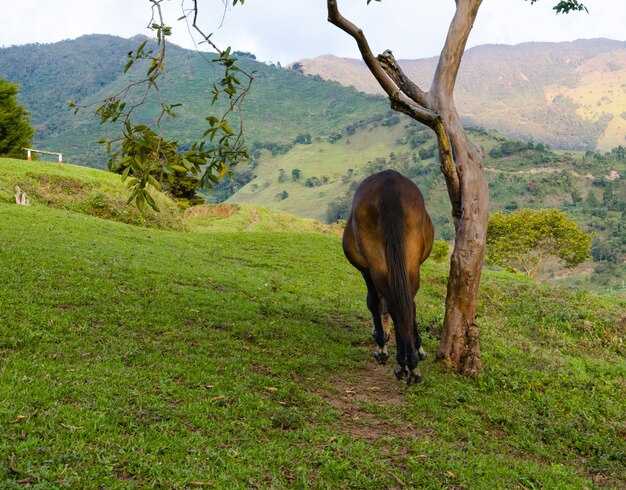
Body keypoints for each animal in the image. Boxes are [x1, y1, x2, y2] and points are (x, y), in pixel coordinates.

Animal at [342, 170, 434, 384]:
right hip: (409, 261)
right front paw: (417, 348)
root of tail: (388, 185)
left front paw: (381, 343)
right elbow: (409, 306)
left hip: (376, 262)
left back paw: (400, 361)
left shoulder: (366, 270)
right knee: (405, 303)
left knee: (391, 303)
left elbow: (373, 302)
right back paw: (411, 363)